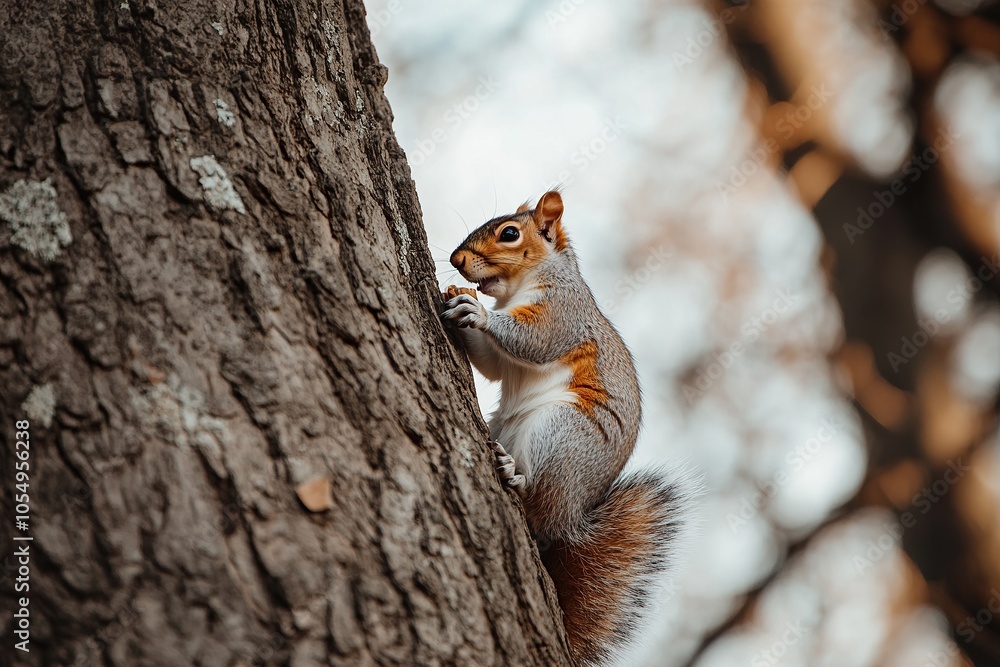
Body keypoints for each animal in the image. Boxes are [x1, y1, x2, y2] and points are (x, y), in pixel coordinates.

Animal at [440, 190, 693, 665]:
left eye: (509, 233)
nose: (455, 259)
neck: (519, 288)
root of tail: (570, 518)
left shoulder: (563, 311)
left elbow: (534, 340)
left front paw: (474, 310)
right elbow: (494, 364)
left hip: (561, 433)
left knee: (537, 501)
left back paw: (515, 476)